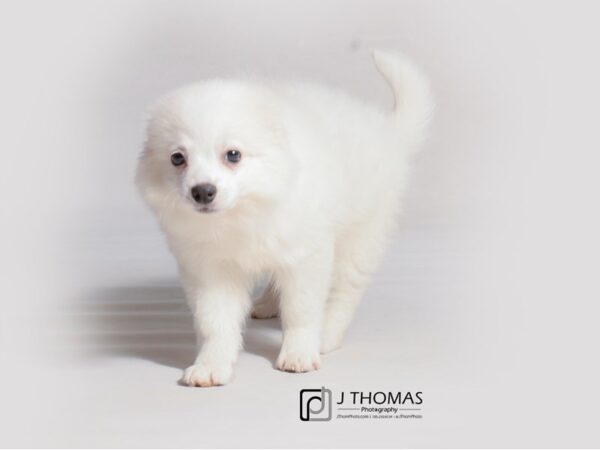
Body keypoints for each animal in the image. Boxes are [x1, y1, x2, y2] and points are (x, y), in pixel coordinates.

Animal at [136, 49, 434, 386]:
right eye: (177, 158)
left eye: (233, 155)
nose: (202, 191)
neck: (245, 213)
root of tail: (390, 130)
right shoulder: (210, 270)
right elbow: (215, 323)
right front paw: (211, 365)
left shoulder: (307, 256)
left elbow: (301, 311)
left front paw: (299, 353)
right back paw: (267, 304)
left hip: (362, 232)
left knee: (345, 288)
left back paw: (327, 335)